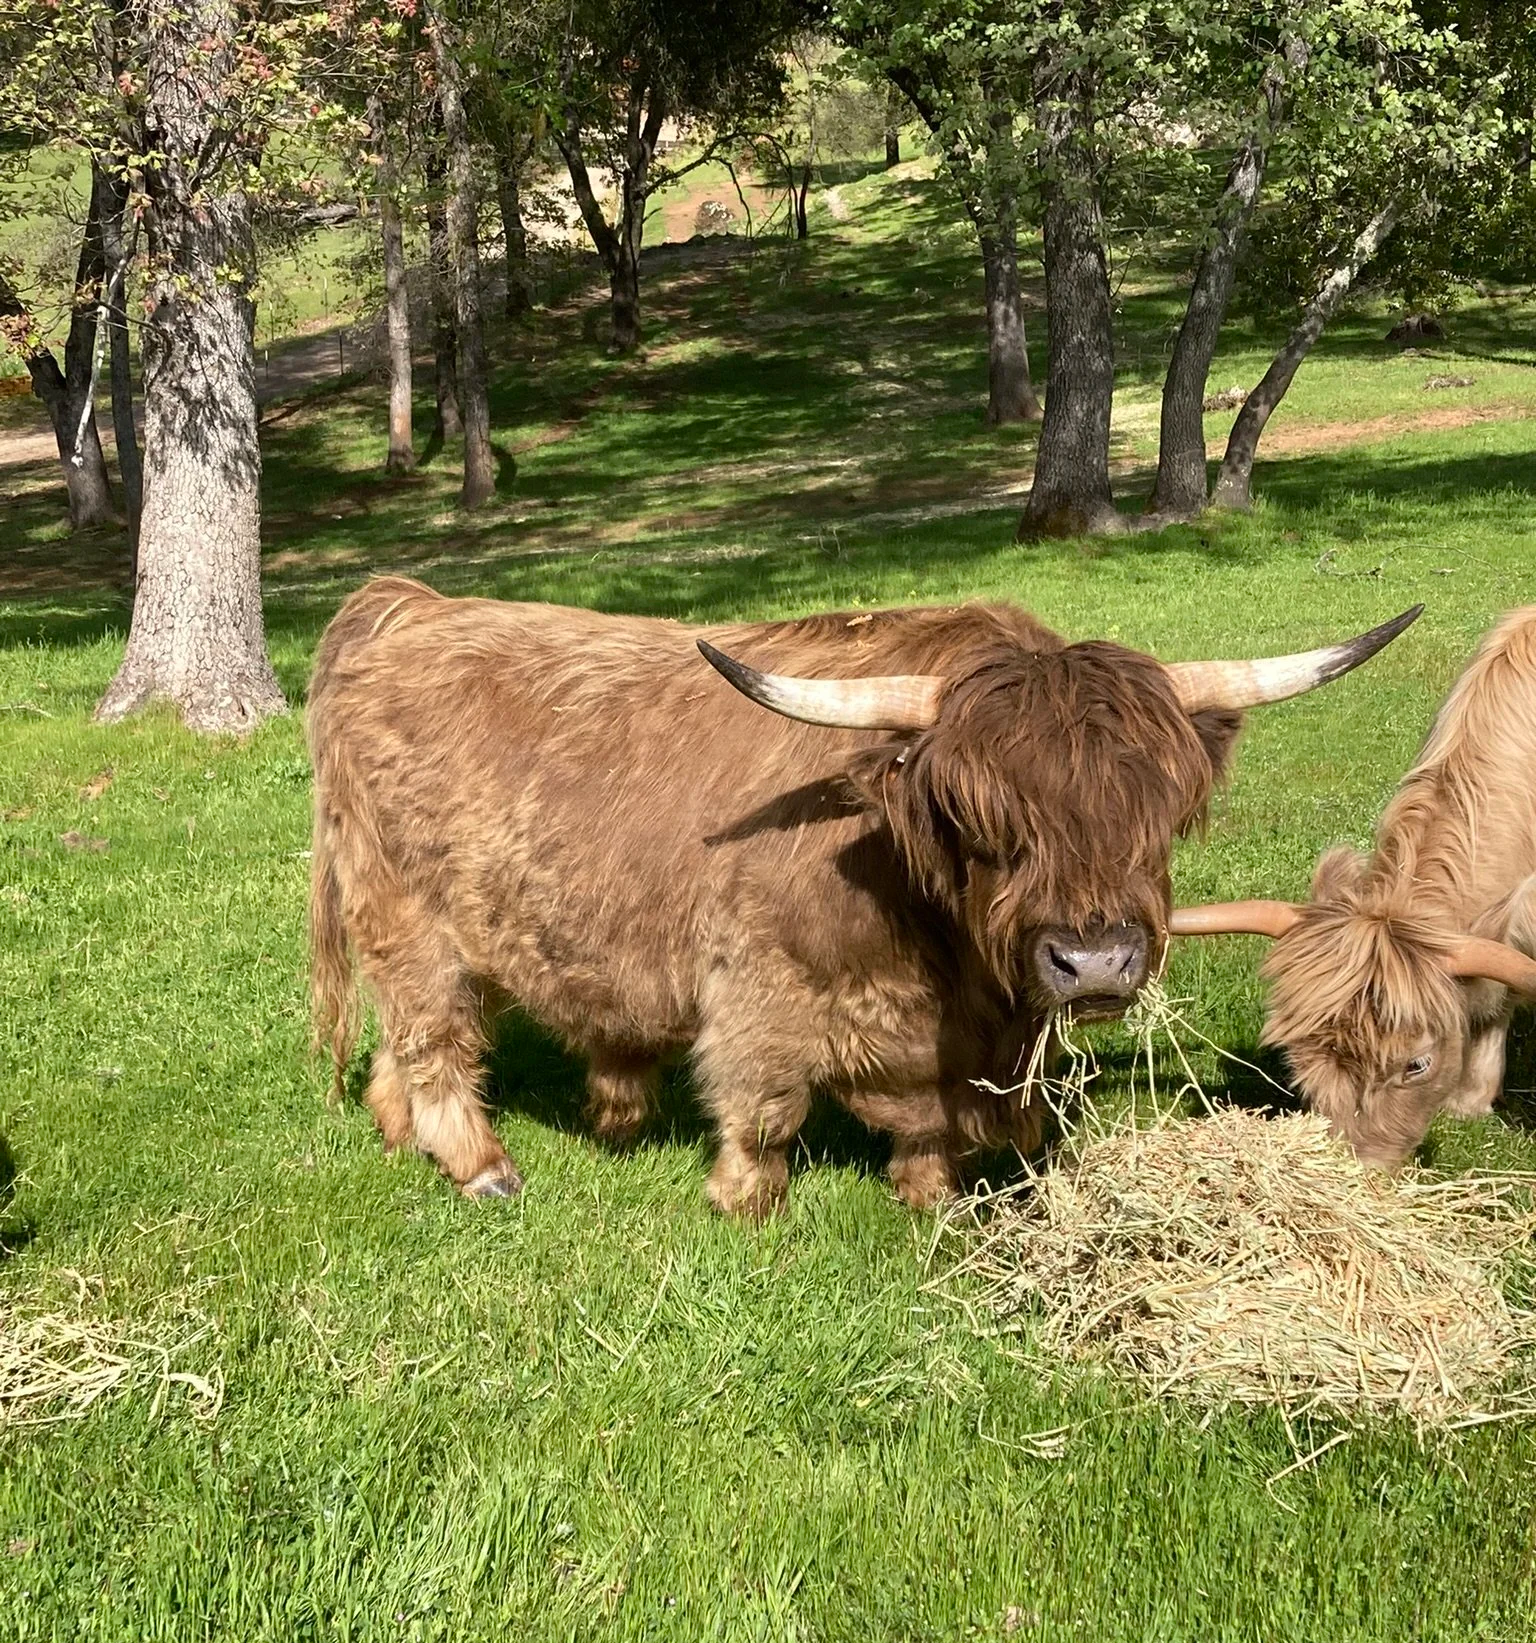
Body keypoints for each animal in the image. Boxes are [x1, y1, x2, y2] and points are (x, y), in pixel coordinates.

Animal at [307, 575, 1418, 1215]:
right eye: (978, 817)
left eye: (1158, 811)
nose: (1096, 959)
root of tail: (412, 607)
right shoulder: (757, 989)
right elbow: (764, 1106)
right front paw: (744, 1199)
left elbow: (927, 1125)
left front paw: (928, 1193)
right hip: (407, 920)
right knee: (435, 1039)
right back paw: (479, 1163)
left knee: (412, 1048)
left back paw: (401, 1132)